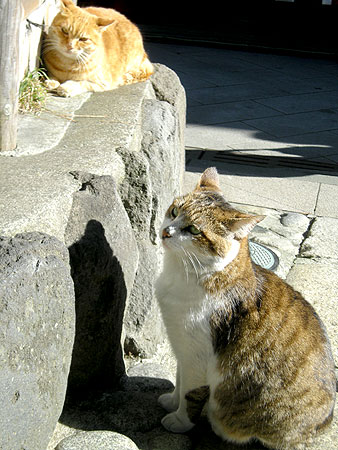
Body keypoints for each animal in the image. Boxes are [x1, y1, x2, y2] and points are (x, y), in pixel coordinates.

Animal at [156, 167, 336, 448]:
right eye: (174, 212)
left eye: (194, 230)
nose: (166, 232)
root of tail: (324, 424)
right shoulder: (182, 348)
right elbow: (178, 378)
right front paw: (170, 400)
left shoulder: (197, 356)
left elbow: (190, 393)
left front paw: (179, 420)